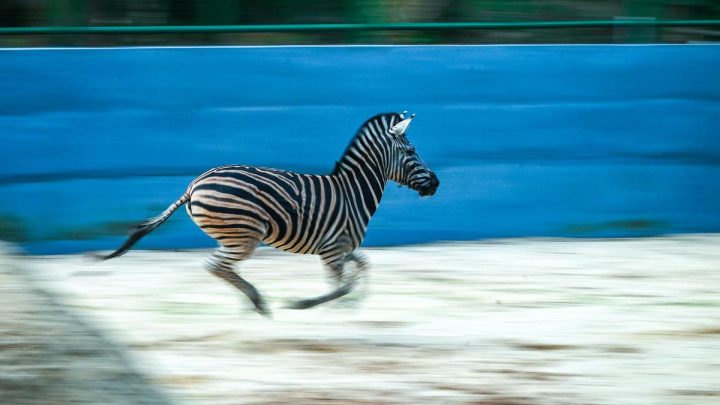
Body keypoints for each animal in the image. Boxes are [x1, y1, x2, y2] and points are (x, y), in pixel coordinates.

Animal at [100, 111, 439, 316]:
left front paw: (354, 303)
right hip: (245, 235)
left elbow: (363, 269)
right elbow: (342, 286)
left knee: (221, 267)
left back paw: (253, 302)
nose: (436, 183)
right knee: (216, 266)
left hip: (234, 236)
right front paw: (303, 304)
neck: (353, 192)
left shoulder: (340, 247)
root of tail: (195, 183)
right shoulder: (332, 250)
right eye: (411, 152)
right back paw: (258, 301)